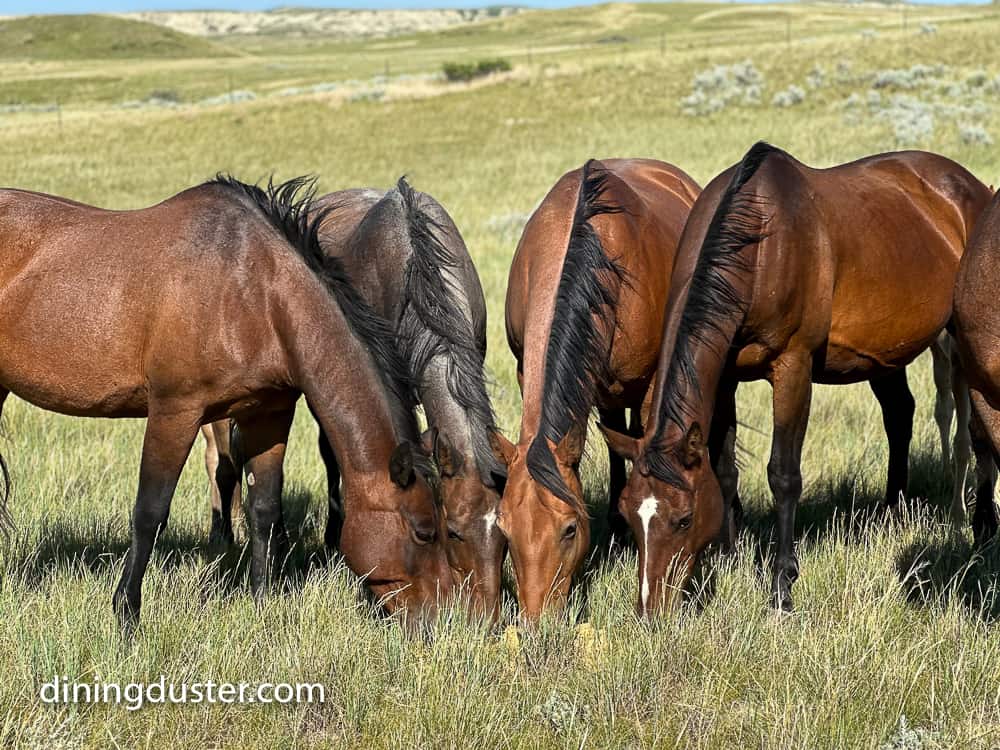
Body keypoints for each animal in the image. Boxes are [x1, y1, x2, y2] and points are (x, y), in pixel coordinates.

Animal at [0, 176, 453, 629]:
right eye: (424, 531)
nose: (439, 621)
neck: (254, 293)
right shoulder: (174, 412)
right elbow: (150, 513)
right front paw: (126, 614)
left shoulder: (269, 414)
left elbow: (263, 509)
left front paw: (262, 604)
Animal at [599, 142, 991, 616]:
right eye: (628, 513)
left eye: (683, 518)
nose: (650, 610)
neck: (758, 246)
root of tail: (969, 186)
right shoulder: (725, 377)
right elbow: (724, 469)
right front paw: (728, 557)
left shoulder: (793, 368)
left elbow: (783, 475)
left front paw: (781, 587)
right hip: (885, 355)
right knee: (900, 415)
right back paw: (892, 515)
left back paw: (979, 528)